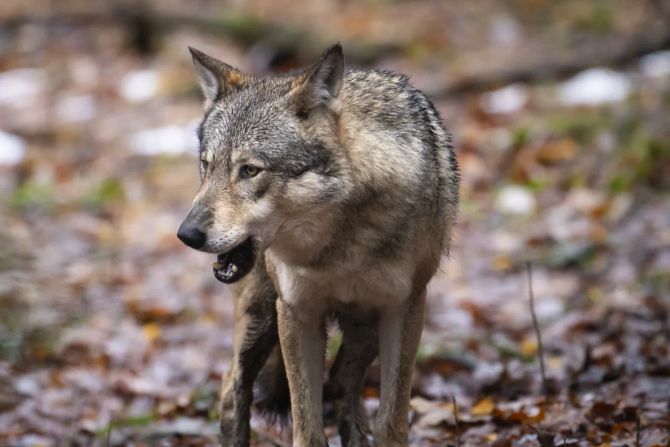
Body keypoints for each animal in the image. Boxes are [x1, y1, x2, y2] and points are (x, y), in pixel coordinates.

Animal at [177, 43, 459, 447]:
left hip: (363, 328)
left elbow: (391, 423)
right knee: (233, 391)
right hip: (260, 319)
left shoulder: (404, 308)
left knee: (341, 383)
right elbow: (307, 428)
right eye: (206, 165)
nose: (186, 234)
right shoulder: (297, 312)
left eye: (250, 170)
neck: (339, 246)